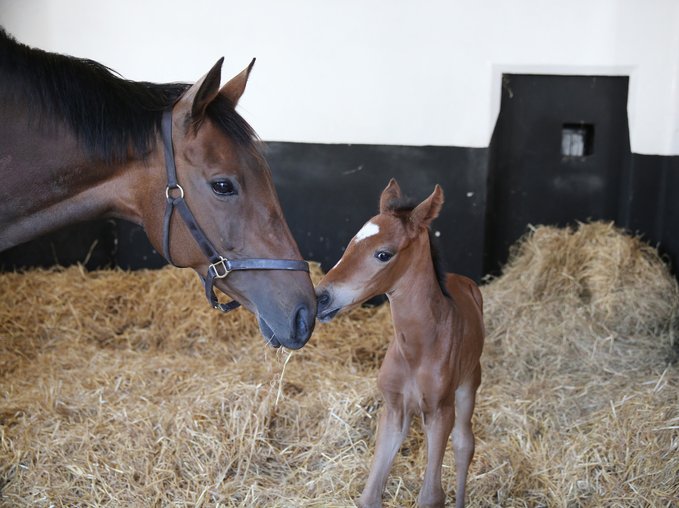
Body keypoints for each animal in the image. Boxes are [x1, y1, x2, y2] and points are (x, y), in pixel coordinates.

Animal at [315, 179, 485, 507]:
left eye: (384, 254)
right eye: (351, 243)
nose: (321, 298)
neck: (417, 348)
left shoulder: (439, 412)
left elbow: (431, 495)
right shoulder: (394, 409)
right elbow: (370, 495)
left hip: (469, 383)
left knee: (463, 444)